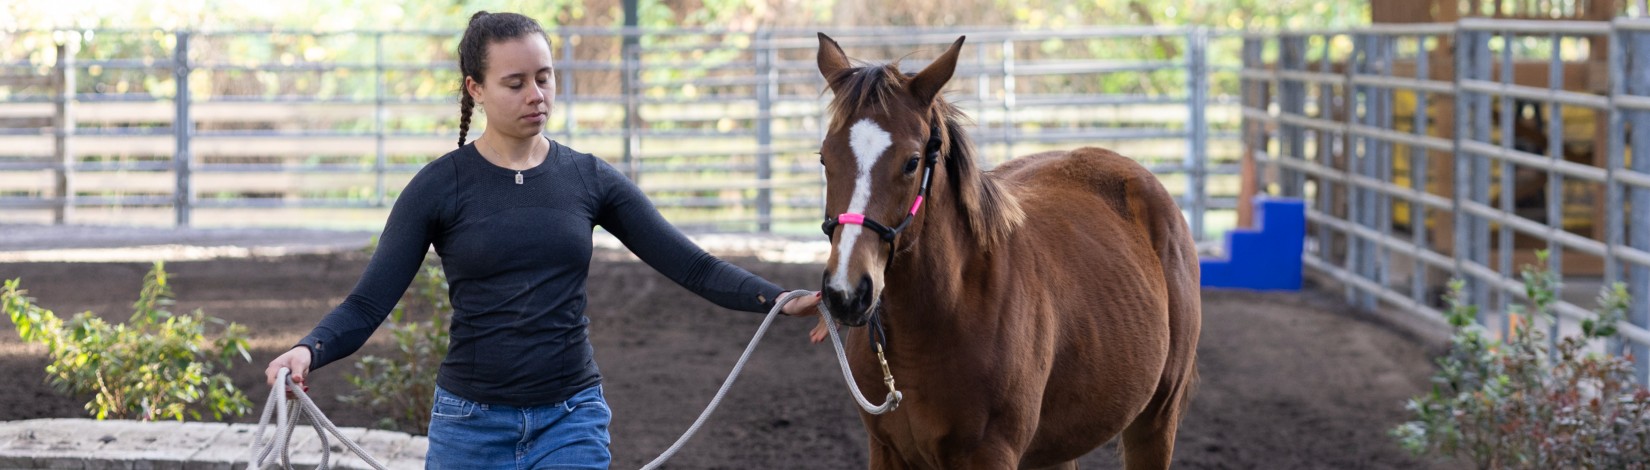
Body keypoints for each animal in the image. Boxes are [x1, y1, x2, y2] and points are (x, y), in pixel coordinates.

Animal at [813, 33, 1202, 469]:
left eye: (912, 162)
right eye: (825, 157)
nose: (846, 292)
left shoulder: (991, 454)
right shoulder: (885, 451)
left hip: (1156, 419)